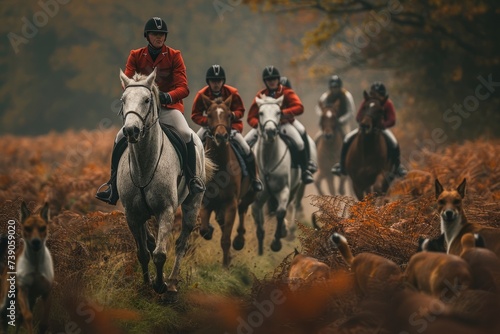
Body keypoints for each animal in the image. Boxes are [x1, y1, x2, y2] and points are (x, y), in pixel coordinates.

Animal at [118, 68, 214, 298]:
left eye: (146, 100)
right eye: (123, 100)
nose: (131, 131)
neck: (144, 164)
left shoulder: (166, 210)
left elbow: (160, 254)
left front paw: (159, 284)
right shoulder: (131, 214)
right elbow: (143, 253)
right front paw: (146, 284)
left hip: (192, 205)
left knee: (181, 244)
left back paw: (171, 282)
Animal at [198, 94, 256, 266]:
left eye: (229, 115)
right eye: (209, 115)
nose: (221, 136)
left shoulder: (231, 203)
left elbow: (225, 239)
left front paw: (225, 265)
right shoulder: (206, 201)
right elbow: (204, 230)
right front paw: (209, 230)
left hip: (249, 195)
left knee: (242, 209)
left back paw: (239, 241)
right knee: (221, 221)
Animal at [252, 95, 302, 254]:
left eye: (278, 112)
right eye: (260, 113)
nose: (270, 132)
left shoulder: (283, 189)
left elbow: (281, 212)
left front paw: (276, 242)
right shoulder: (257, 197)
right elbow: (257, 215)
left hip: (293, 189)